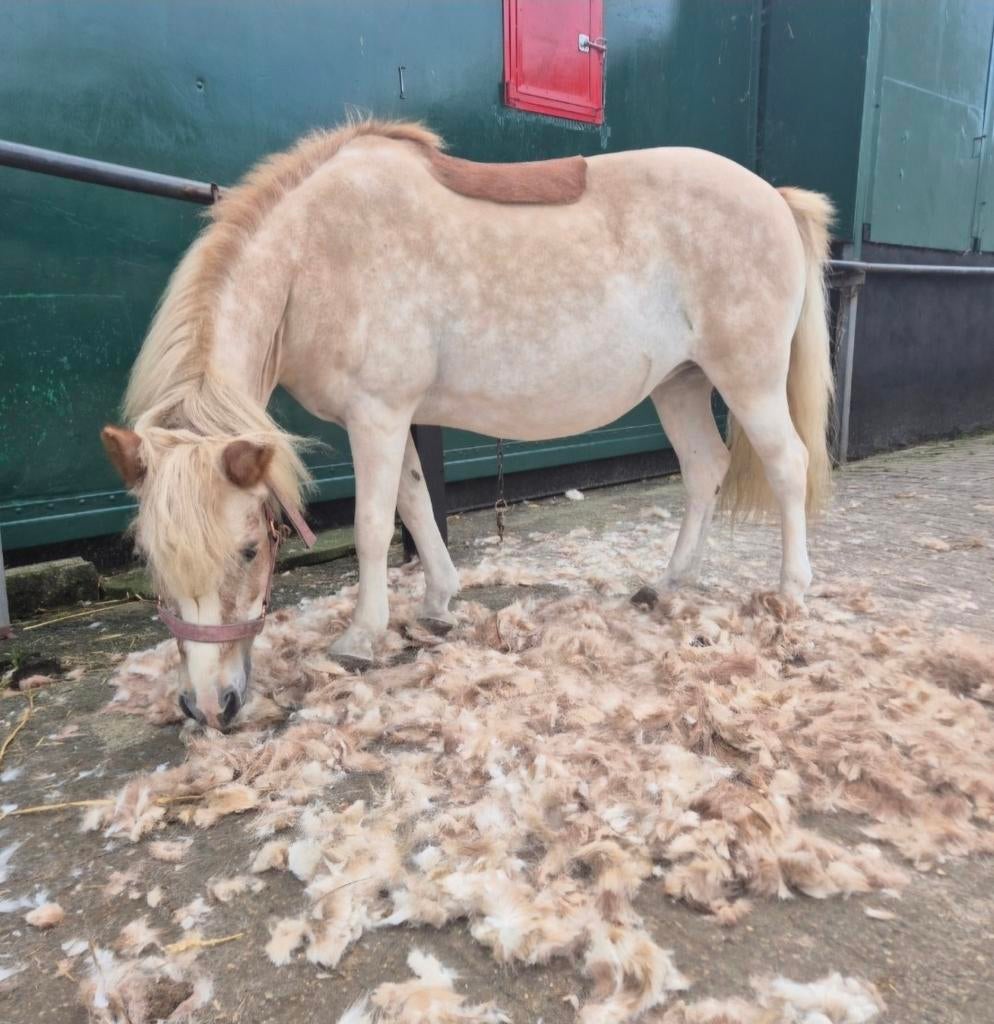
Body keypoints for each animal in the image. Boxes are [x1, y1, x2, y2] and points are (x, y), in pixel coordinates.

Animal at [101, 119, 834, 731]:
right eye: (149, 557)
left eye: (250, 550)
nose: (208, 705)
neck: (313, 256)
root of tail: (774, 197)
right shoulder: (393, 417)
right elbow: (416, 503)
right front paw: (437, 602)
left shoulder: (377, 414)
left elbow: (373, 527)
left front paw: (361, 637)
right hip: (679, 385)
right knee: (705, 468)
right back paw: (668, 583)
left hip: (748, 380)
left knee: (787, 465)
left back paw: (792, 592)